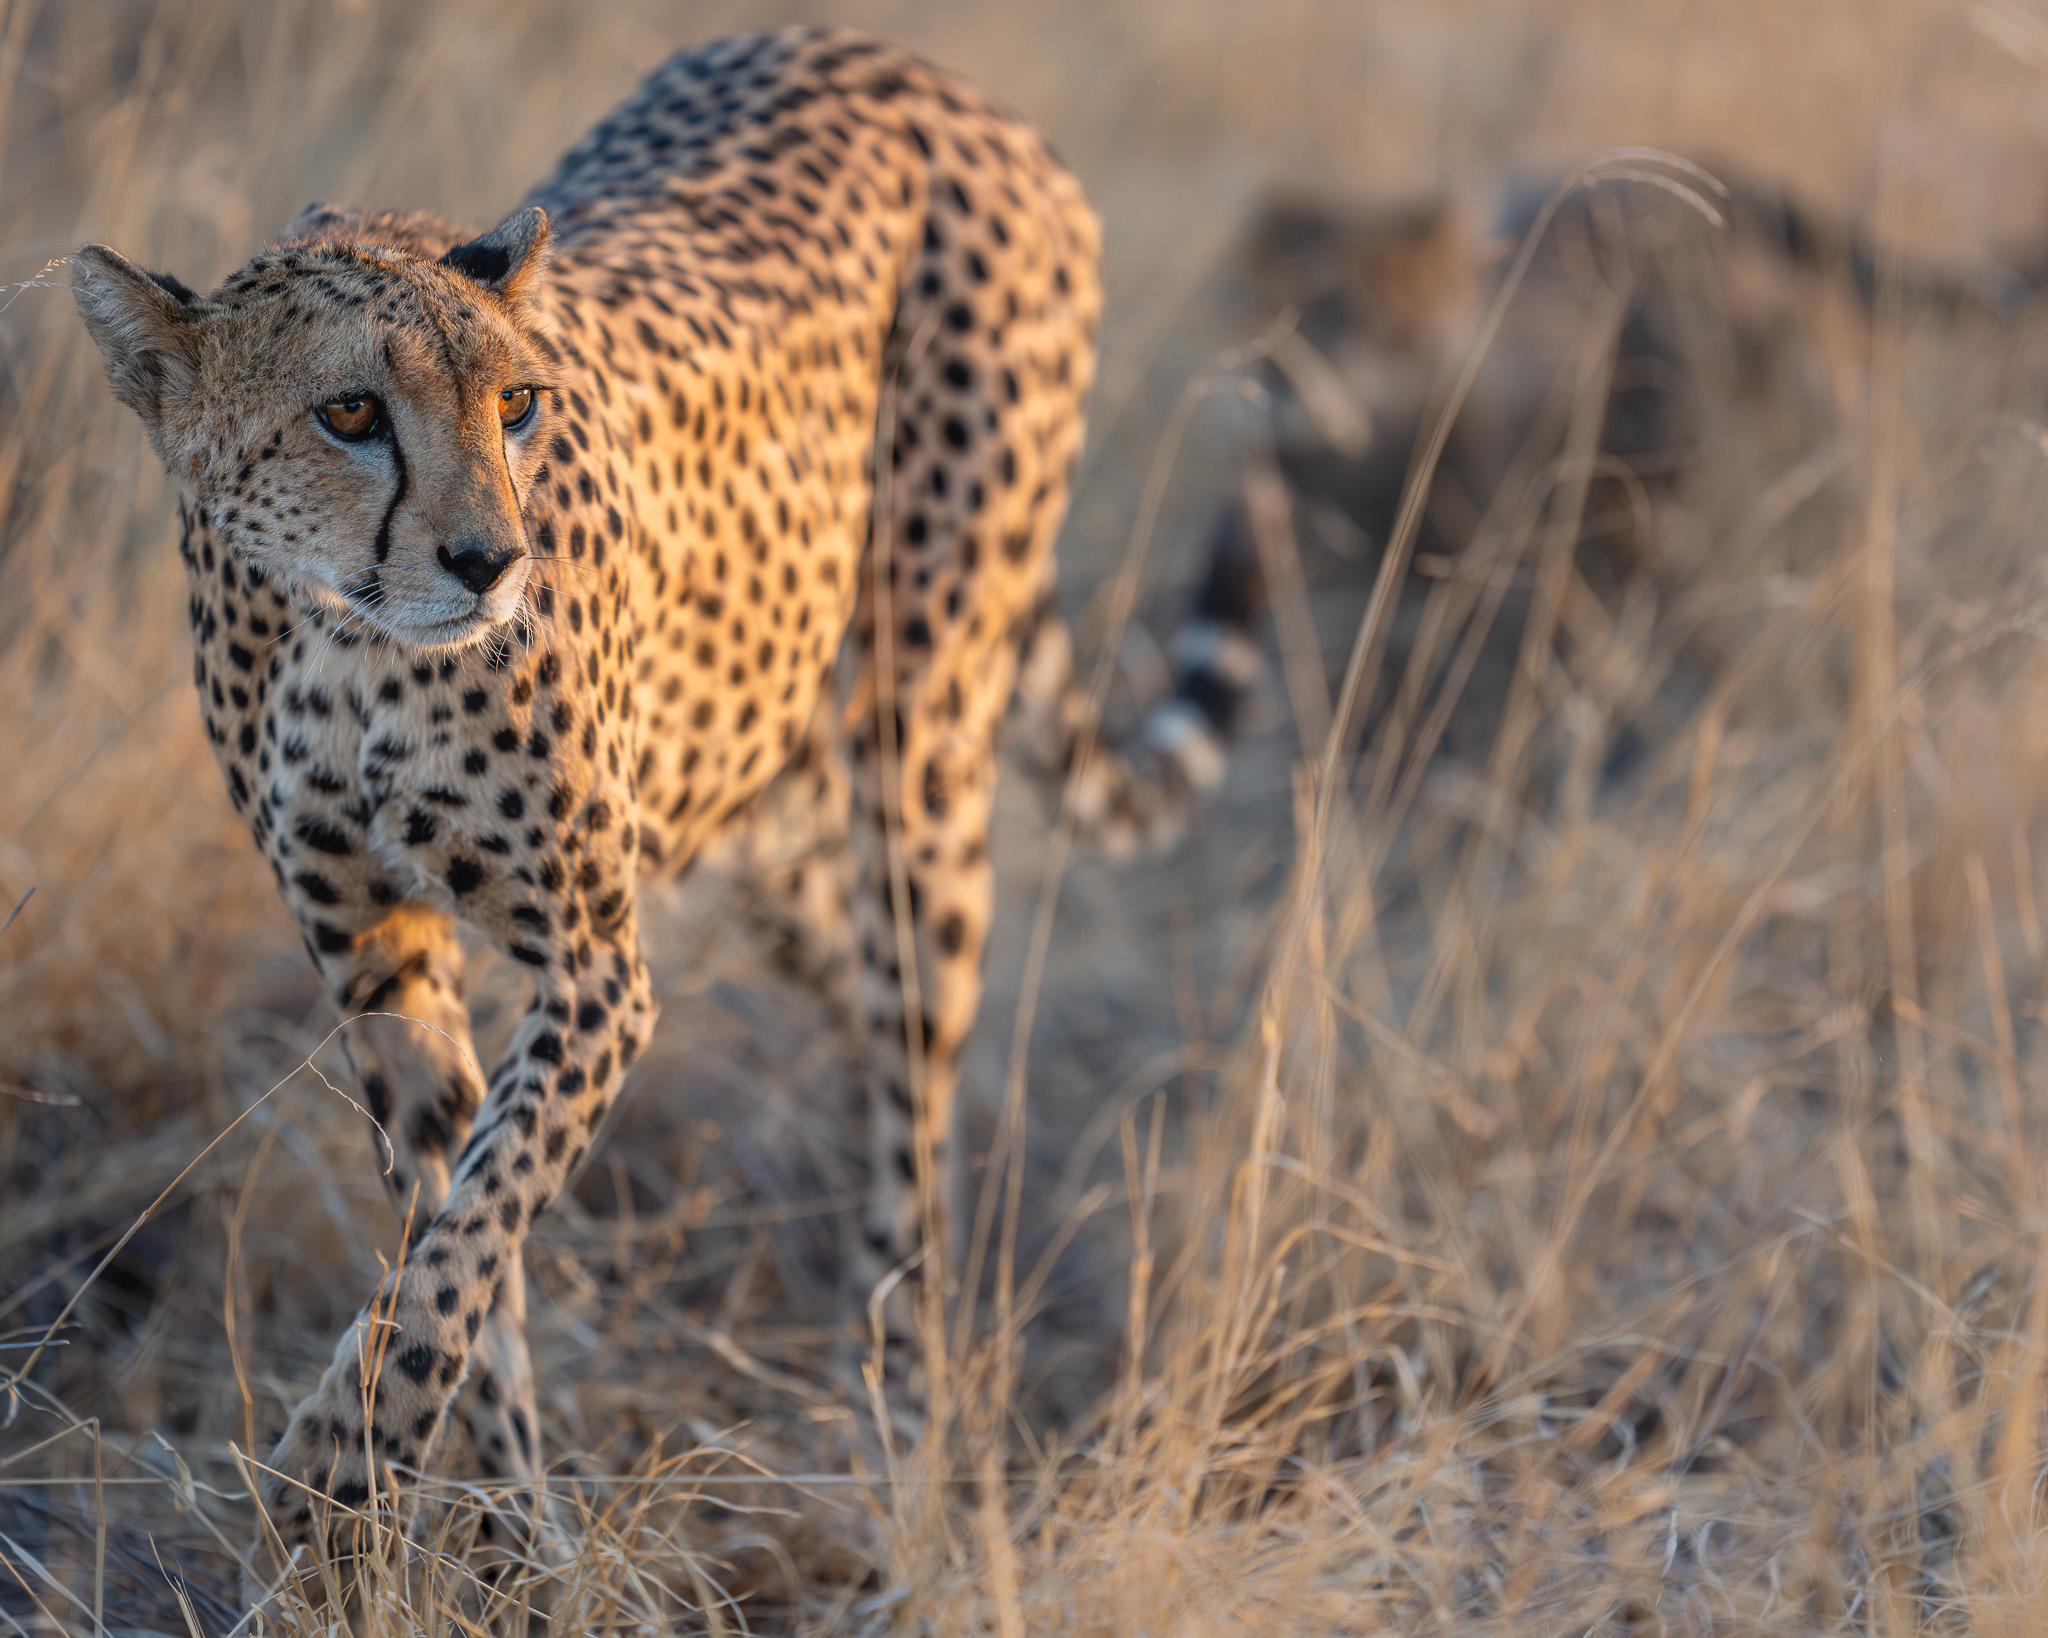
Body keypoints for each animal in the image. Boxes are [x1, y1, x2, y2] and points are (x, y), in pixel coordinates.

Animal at [70, 26, 1262, 1577]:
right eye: (349, 413)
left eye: (514, 404)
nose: (489, 560)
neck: (354, 648)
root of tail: (912, 67)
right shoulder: (375, 955)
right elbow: (460, 1236)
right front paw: (497, 1527)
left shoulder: (597, 966)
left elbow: (469, 1232)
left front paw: (344, 1461)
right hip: (773, 830)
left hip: (919, 771)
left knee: (913, 1110)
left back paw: (903, 1418)